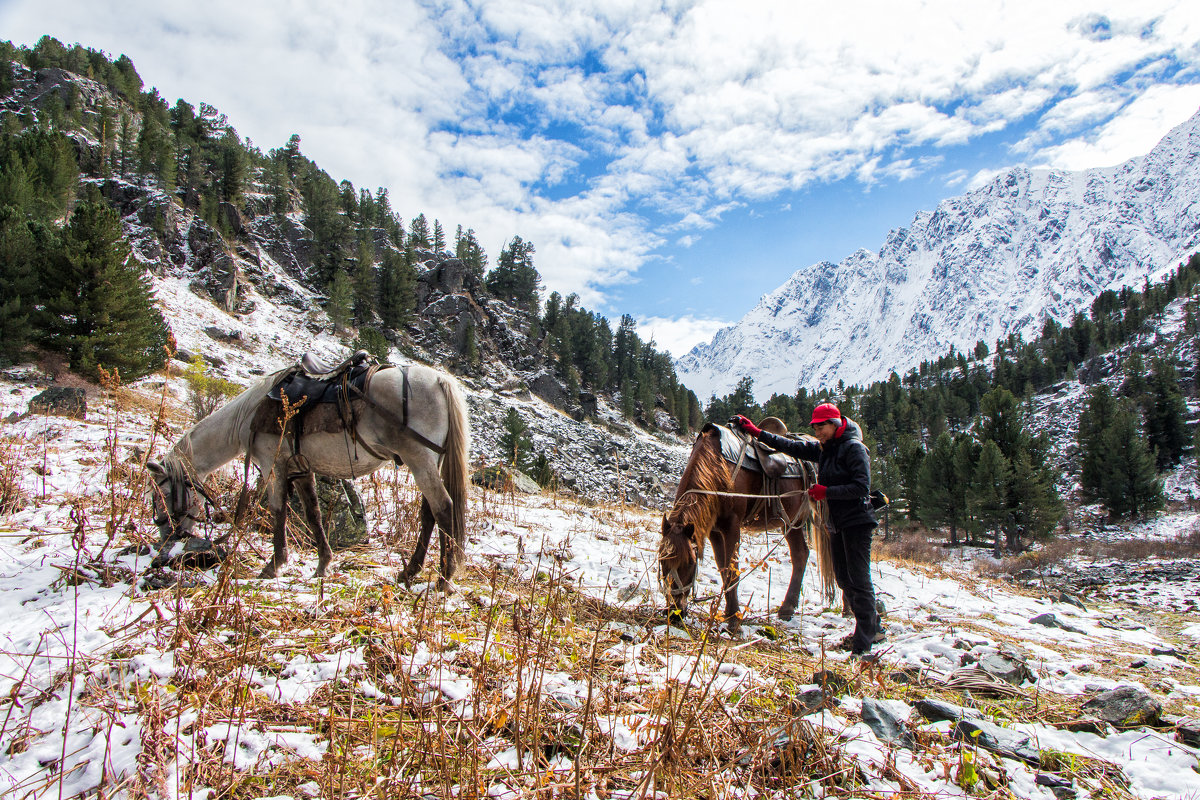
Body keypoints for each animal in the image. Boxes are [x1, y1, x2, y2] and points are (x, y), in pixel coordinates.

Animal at [145, 362, 468, 582]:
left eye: (160, 494)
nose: (166, 539)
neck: (249, 414)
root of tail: (439, 379)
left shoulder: (272, 466)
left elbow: (278, 511)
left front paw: (273, 565)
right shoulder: (301, 470)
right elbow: (313, 514)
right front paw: (323, 563)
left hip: (419, 460)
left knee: (443, 508)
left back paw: (444, 576)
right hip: (428, 462)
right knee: (429, 514)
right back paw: (410, 572)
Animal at [657, 422, 835, 628]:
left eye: (690, 563)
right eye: (662, 561)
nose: (674, 613)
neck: (719, 468)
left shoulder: (732, 526)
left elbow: (733, 569)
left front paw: (734, 620)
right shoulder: (714, 531)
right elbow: (723, 569)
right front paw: (728, 613)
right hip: (792, 522)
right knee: (801, 554)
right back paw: (787, 608)